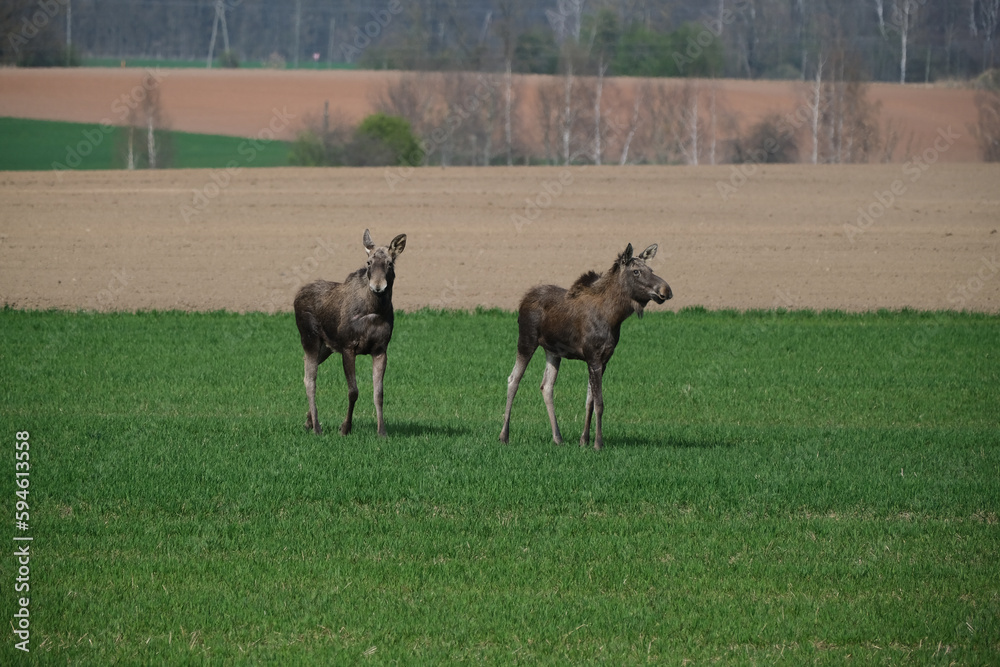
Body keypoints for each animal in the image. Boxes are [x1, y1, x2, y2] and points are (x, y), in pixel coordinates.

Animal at [293, 229, 406, 437]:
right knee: (310, 379)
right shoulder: (348, 346)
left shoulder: (380, 349)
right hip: (309, 338)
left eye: (390, 263)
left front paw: (382, 432)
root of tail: (296, 296)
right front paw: (345, 427)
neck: (375, 311)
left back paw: (309, 421)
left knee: (306, 370)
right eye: (368, 262)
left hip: (326, 347)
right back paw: (317, 427)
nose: (378, 286)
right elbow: (353, 391)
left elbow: (379, 393)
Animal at [499, 243, 672, 450]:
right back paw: (504, 435)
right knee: (513, 379)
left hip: (552, 351)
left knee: (546, 386)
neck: (614, 317)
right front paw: (598, 443)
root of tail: (522, 300)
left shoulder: (603, 359)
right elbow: (600, 403)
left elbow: (589, 400)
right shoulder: (594, 356)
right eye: (636, 271)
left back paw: (558, 437)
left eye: (651, 270)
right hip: (526, 340)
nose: (666, 290)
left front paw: (584, 440)